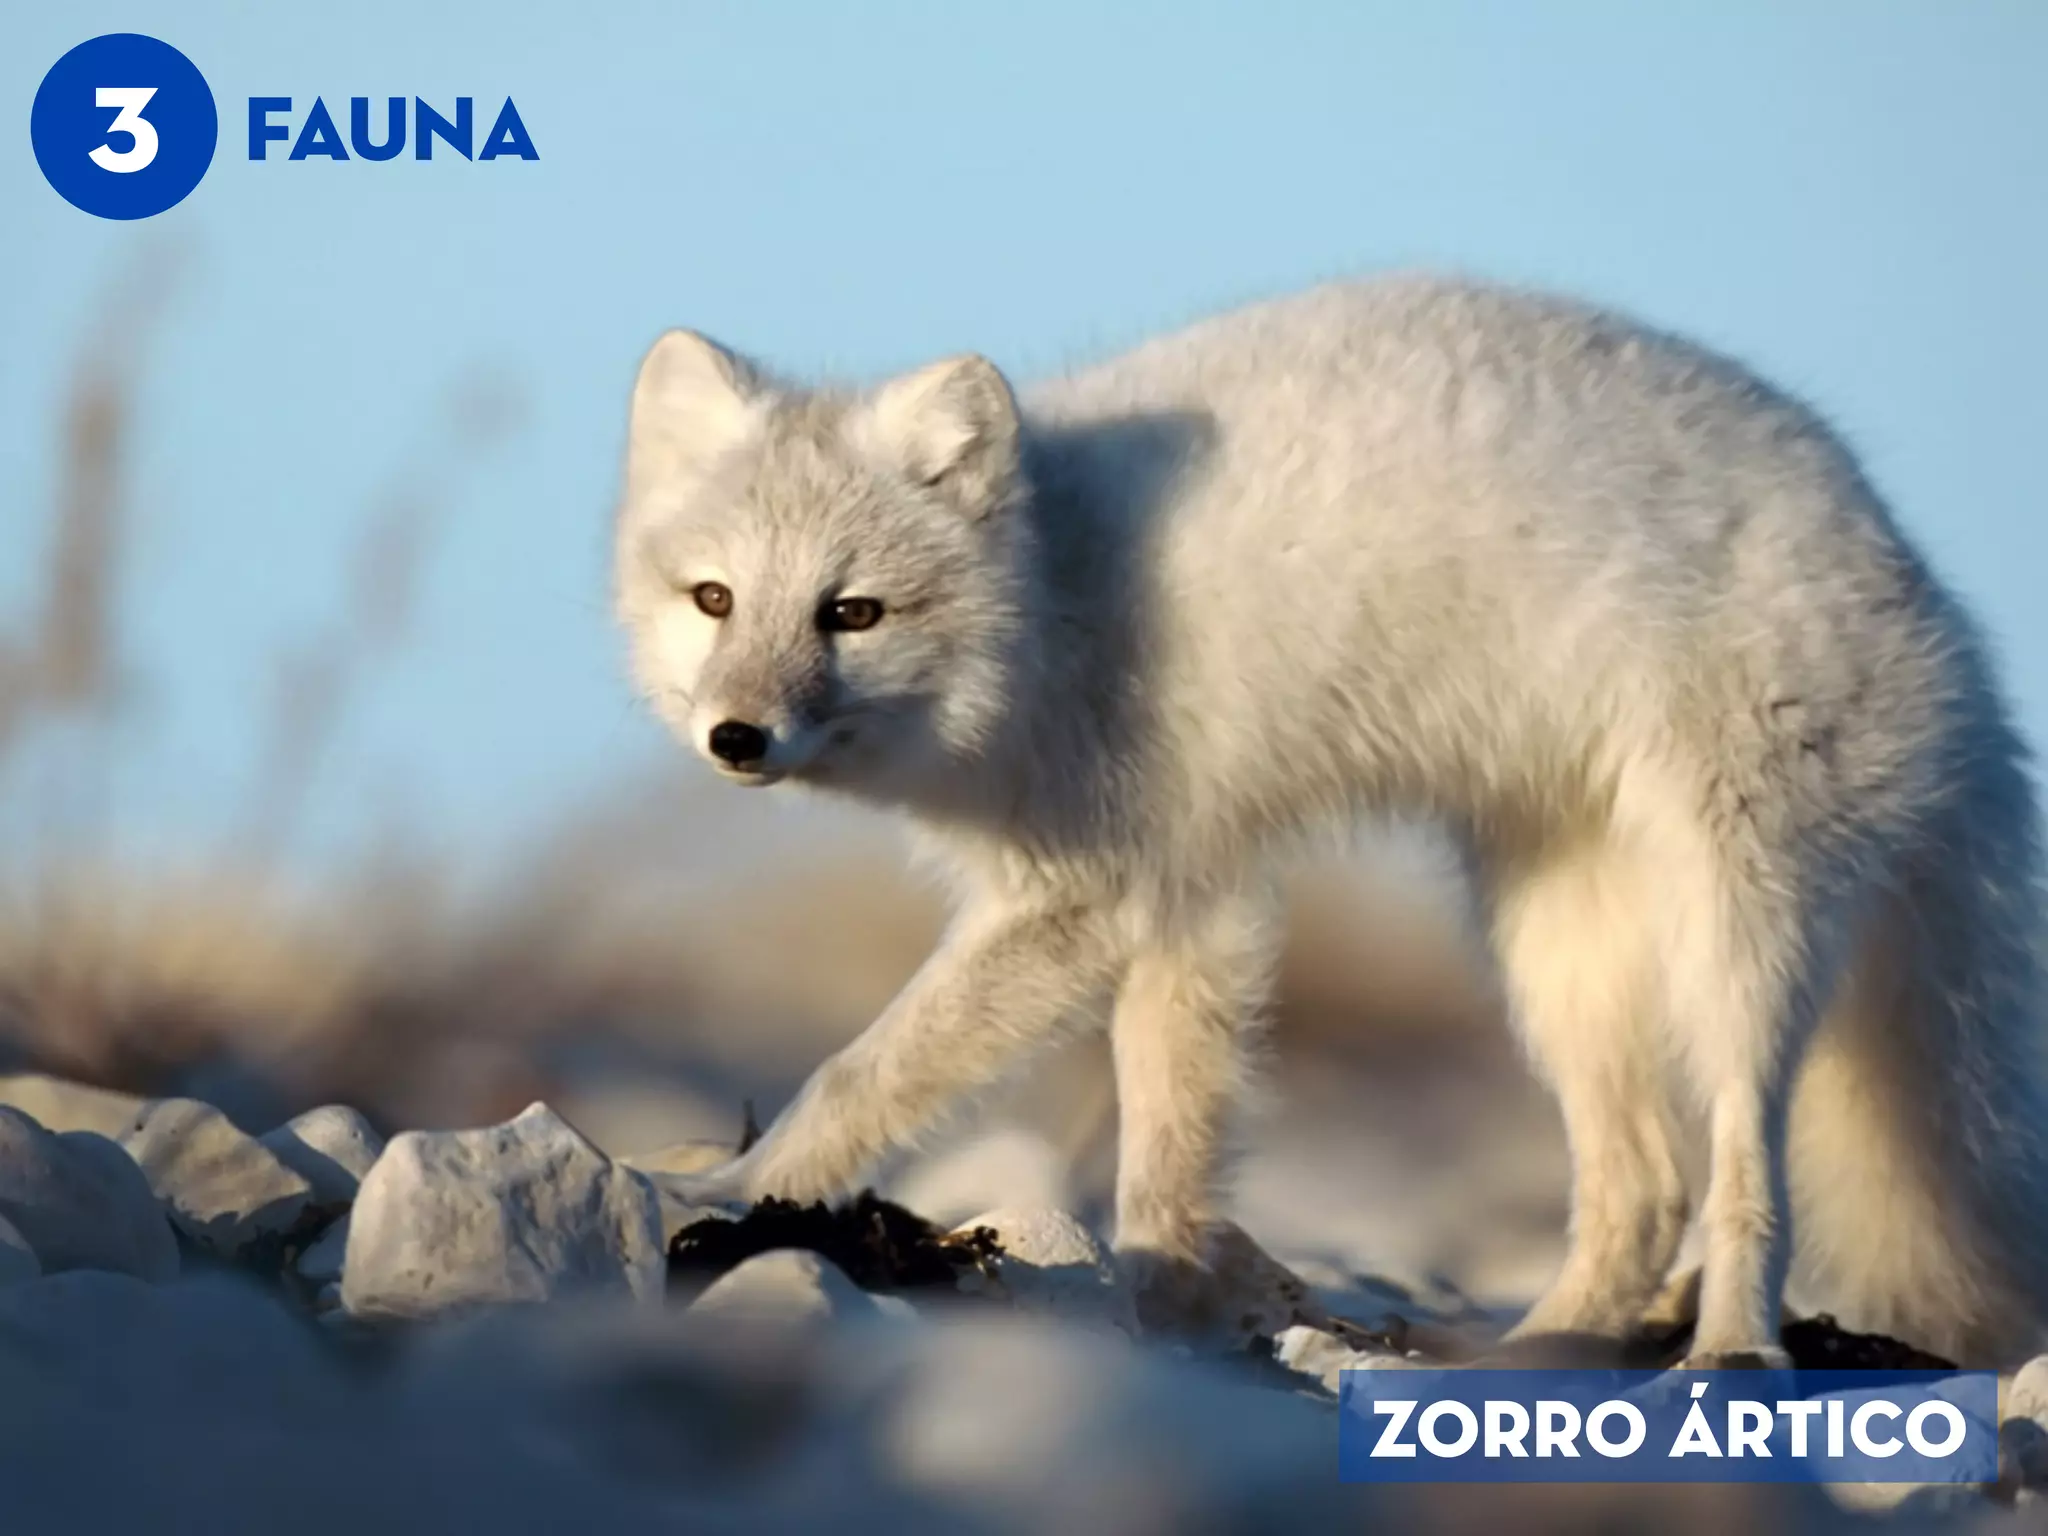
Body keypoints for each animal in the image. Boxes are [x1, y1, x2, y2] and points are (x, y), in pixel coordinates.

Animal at [612, 274, 2048, 1367]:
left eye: (850, 614)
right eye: (714, 599)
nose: (736, 739)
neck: (1059, 597)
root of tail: (1918, 580)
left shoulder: (1102, 898)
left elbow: (862, 1070)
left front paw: (733, 1193)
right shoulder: (1189, 903)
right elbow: (1170, 1153)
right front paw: (1165, 1309)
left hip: (1735, 934)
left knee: (1748, 1175)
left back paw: (1730, 1353)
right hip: (1553, 950)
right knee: (1644, 1189)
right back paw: (1535, 1356)